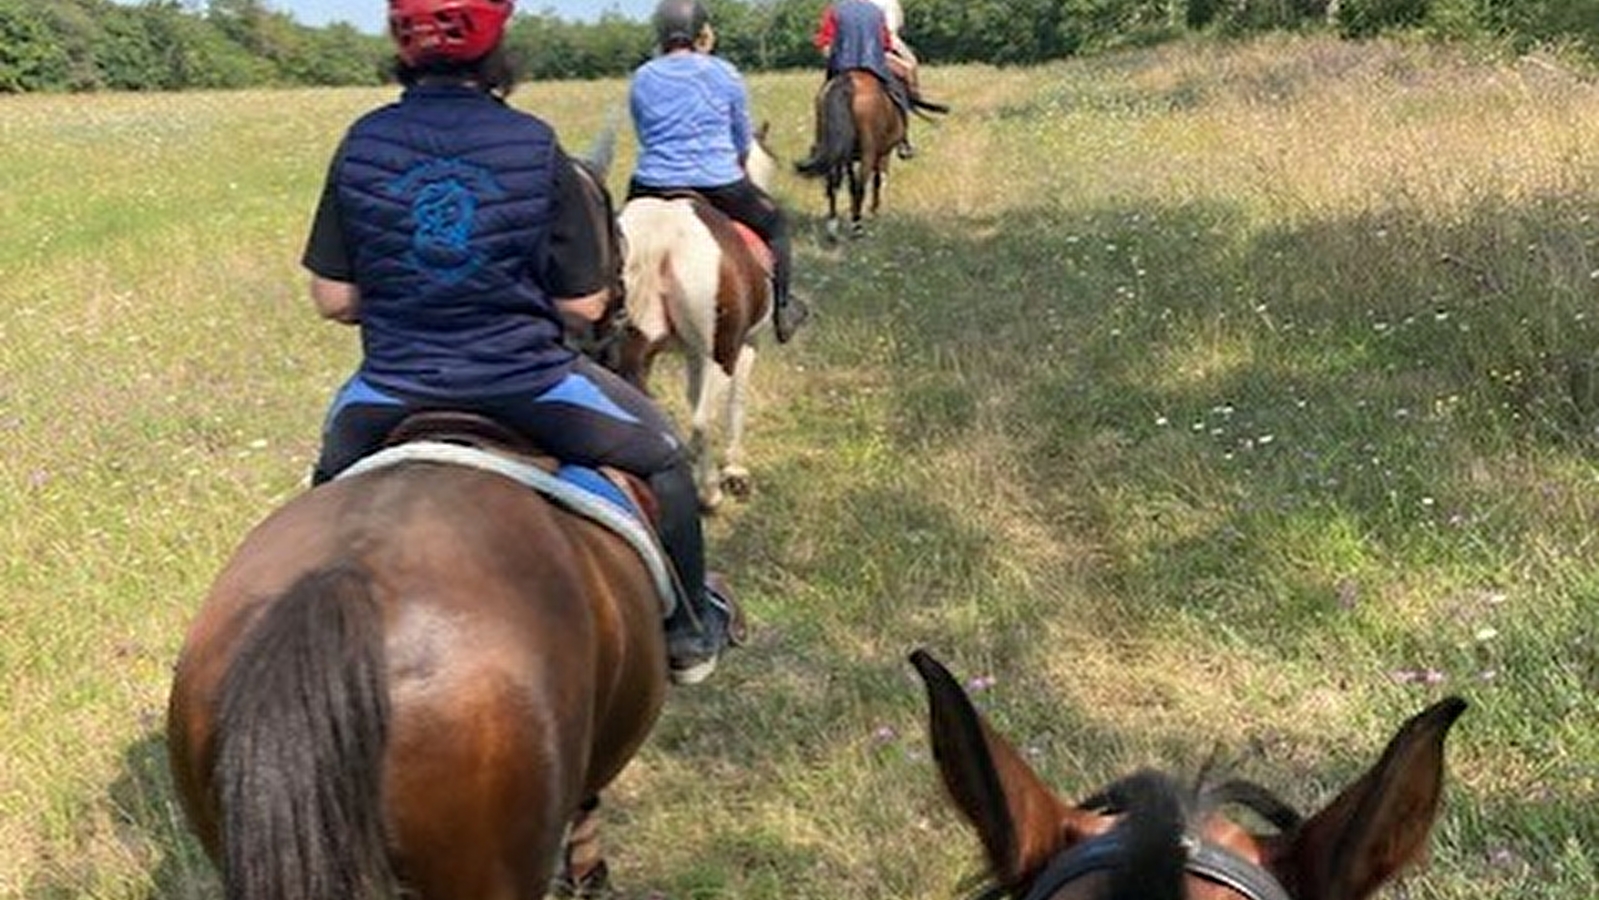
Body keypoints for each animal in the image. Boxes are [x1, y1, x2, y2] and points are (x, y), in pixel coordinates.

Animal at [610, 124, 780, 514]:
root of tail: (662, 230)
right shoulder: (747, 345)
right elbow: (734, 404)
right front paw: (733, 469)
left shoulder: (691, 352)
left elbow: (693, 395)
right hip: (722, 351)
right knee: (703, 421)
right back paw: (710, 494)